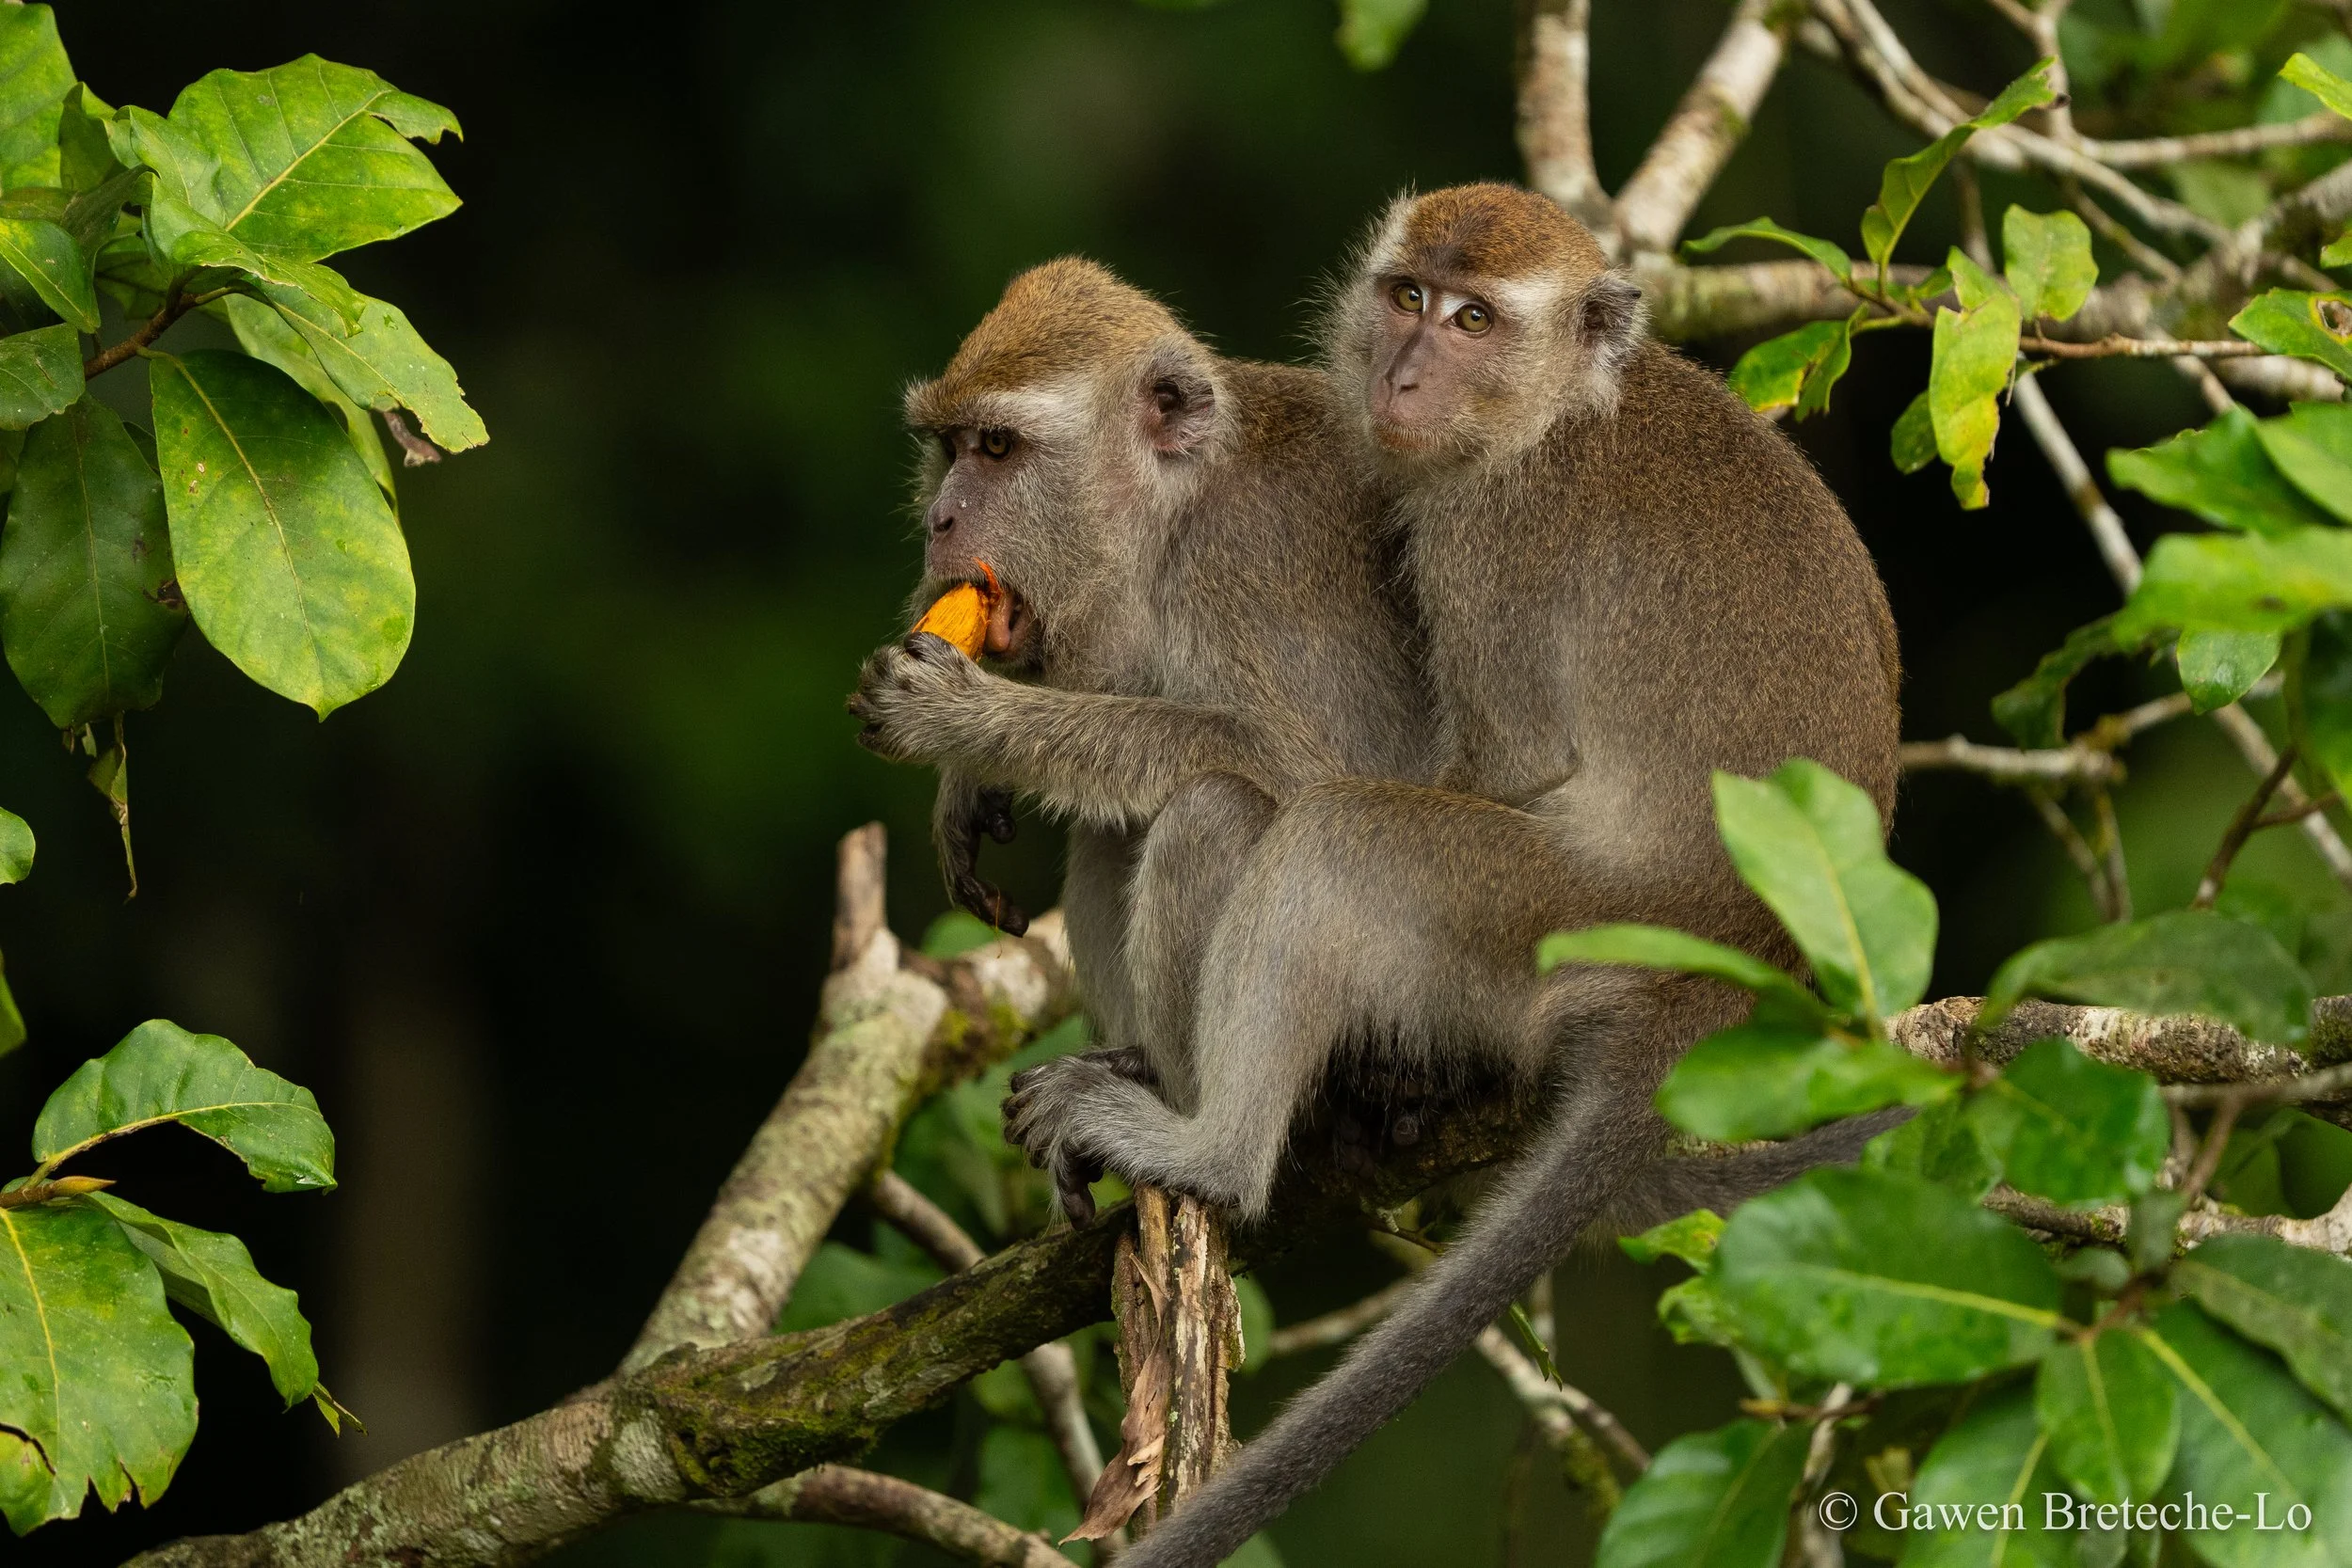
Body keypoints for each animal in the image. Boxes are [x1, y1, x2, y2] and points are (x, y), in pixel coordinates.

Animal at [994, 184, 1903, 1567]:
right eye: (1410, 298)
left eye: (1476, 321)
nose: (1407, 373)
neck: (1553, 414)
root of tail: (1722, 990)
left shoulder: (1493, 536)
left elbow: (1476, 762)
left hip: (1542, 922)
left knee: (1343, 839)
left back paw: (1220, 1144)